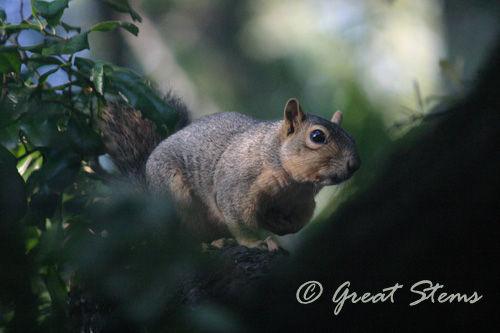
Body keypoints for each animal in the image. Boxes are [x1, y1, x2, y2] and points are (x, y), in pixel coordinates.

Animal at [100, 93, 360, 249]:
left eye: (352, 137)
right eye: (317, 136)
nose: (354, 165)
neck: (293, 184)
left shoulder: (303, 202)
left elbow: (298, 223)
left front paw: (277, 224)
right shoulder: (237, 185)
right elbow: (239, 218)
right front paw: (256, 243)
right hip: (172, 196)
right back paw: (208, 245)